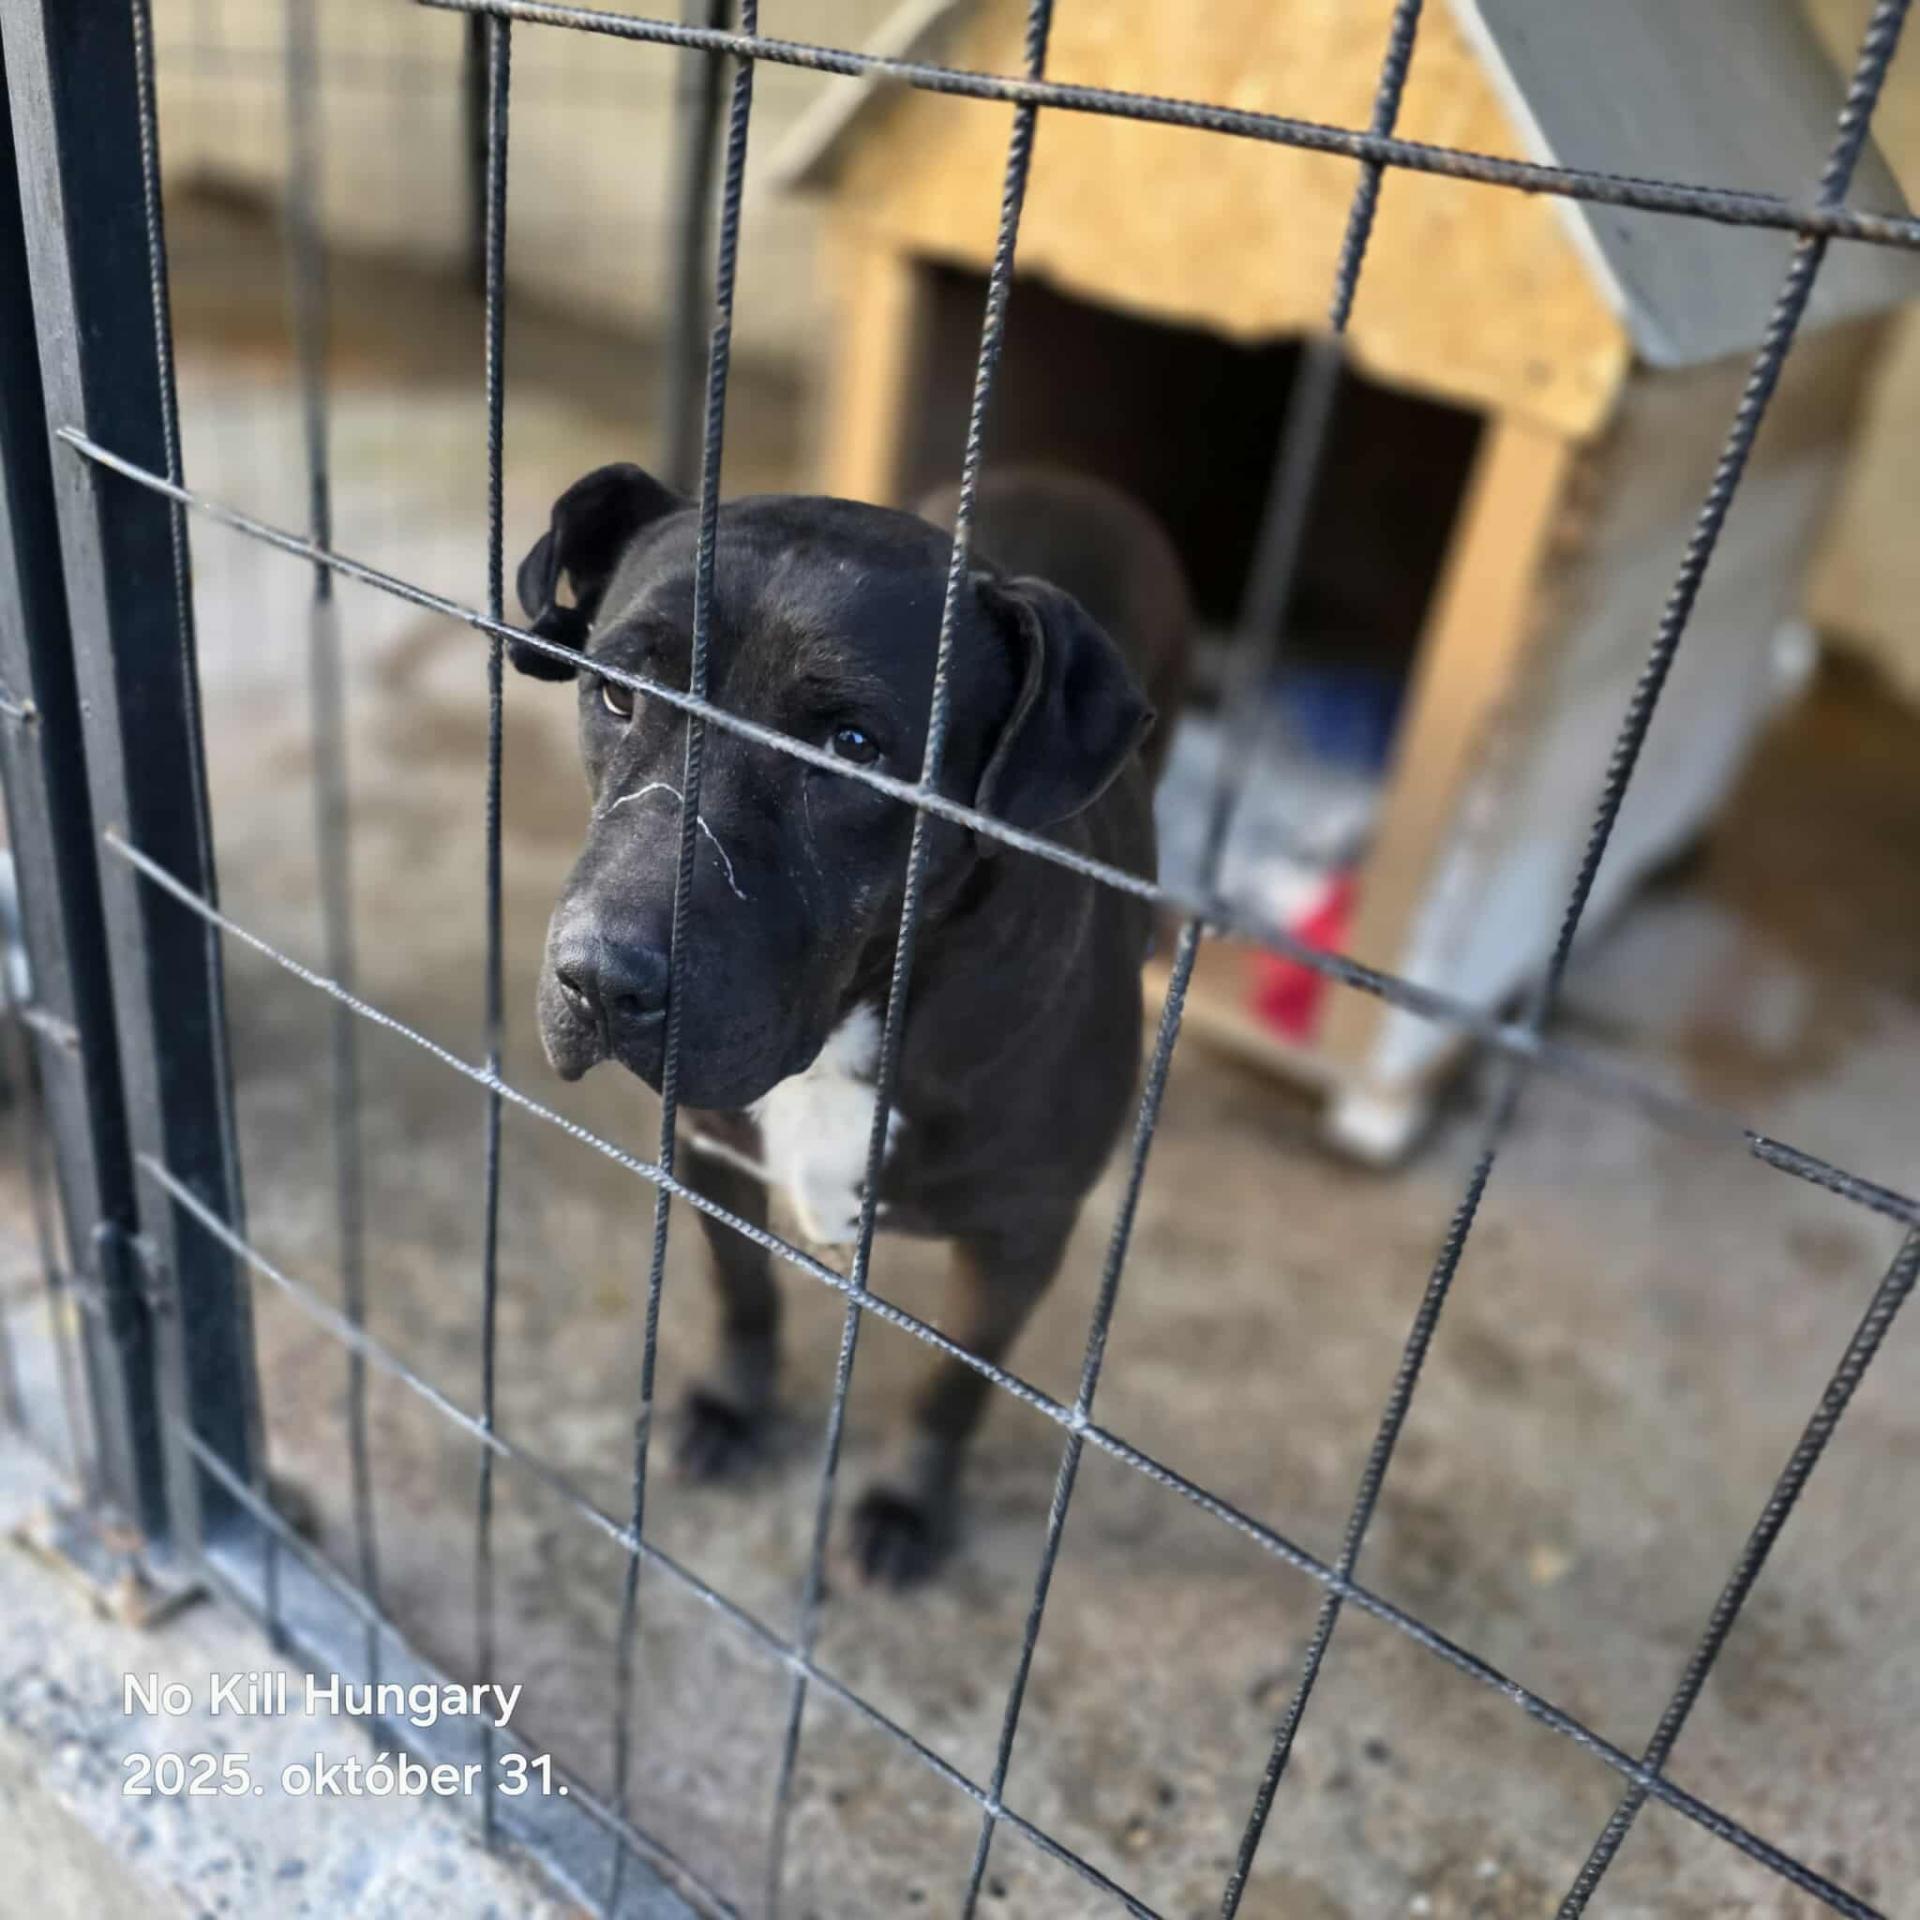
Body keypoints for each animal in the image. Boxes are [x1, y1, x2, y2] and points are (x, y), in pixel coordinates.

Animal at [513, 464, 1190, 1582]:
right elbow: (744, 1295)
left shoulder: (1018, 1239)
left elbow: (951, 1389)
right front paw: (732, 1409)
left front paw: (909, 1505)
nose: (599, 981)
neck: (852, 1026)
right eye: (617, 691)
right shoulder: (713, 1153)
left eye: (855, 749)